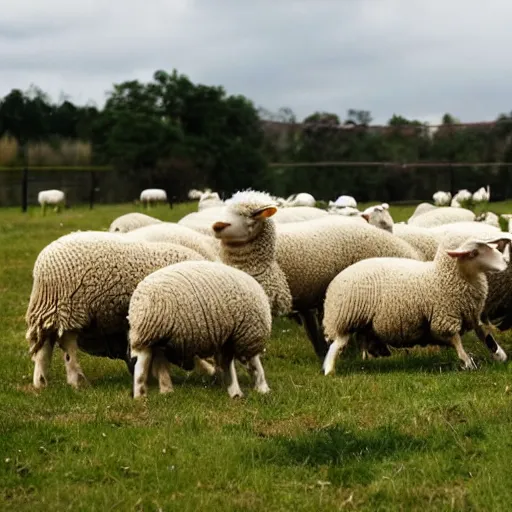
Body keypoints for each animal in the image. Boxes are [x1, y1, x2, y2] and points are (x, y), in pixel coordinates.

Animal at [25, 230, 206, 390]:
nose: (189, 366)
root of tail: (43, 261)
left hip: (53, 310)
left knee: (46, 345)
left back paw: (41, 382)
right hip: (68, 307)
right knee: (66, 344)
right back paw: (76, 380)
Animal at [127, 260, 272, 400]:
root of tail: (138, 300)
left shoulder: (229, 338)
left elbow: (229, 364)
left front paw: (235, 392)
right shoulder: (247, 334)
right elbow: (254, 365)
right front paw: (263, 389)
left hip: (154, 335)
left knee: (152, 359)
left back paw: (160, 391)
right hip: (150, 330)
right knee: (141, 361)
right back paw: (140, 394)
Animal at [322, 234, 512, 374]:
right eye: (474, 253)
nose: (505, 263)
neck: (441, 276)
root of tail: (334, 283)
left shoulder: (472, 314)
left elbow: (486, 335)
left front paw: (500, 356)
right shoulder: (444, 318)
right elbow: (456, 341)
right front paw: (467, 362)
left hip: (362, 324)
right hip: (345, 319)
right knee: (336, 346)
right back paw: (329, 371)